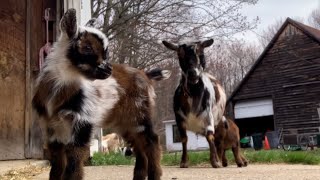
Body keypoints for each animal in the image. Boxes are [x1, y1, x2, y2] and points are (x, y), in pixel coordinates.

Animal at [32, 9, 169, 180]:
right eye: (87, 47)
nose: (108, 69)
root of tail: (145, 74)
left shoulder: (83, 122)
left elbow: (74, 161)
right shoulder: (52, 128)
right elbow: (57, 166)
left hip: (141, 113)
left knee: (152, 141)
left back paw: (154, 174)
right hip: (124, 122)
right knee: (139, 148)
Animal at [162, 38, 228, 168]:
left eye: (201, 53)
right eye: (180, 54)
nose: (193, 73)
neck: (193, 94)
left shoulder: (208, 118)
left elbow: (210, 137)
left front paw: (215, 161)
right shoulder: (179, 119)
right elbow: (184, 139)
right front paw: (184, 162)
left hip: (219, 122)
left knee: (218, 141)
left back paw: (221, 160)